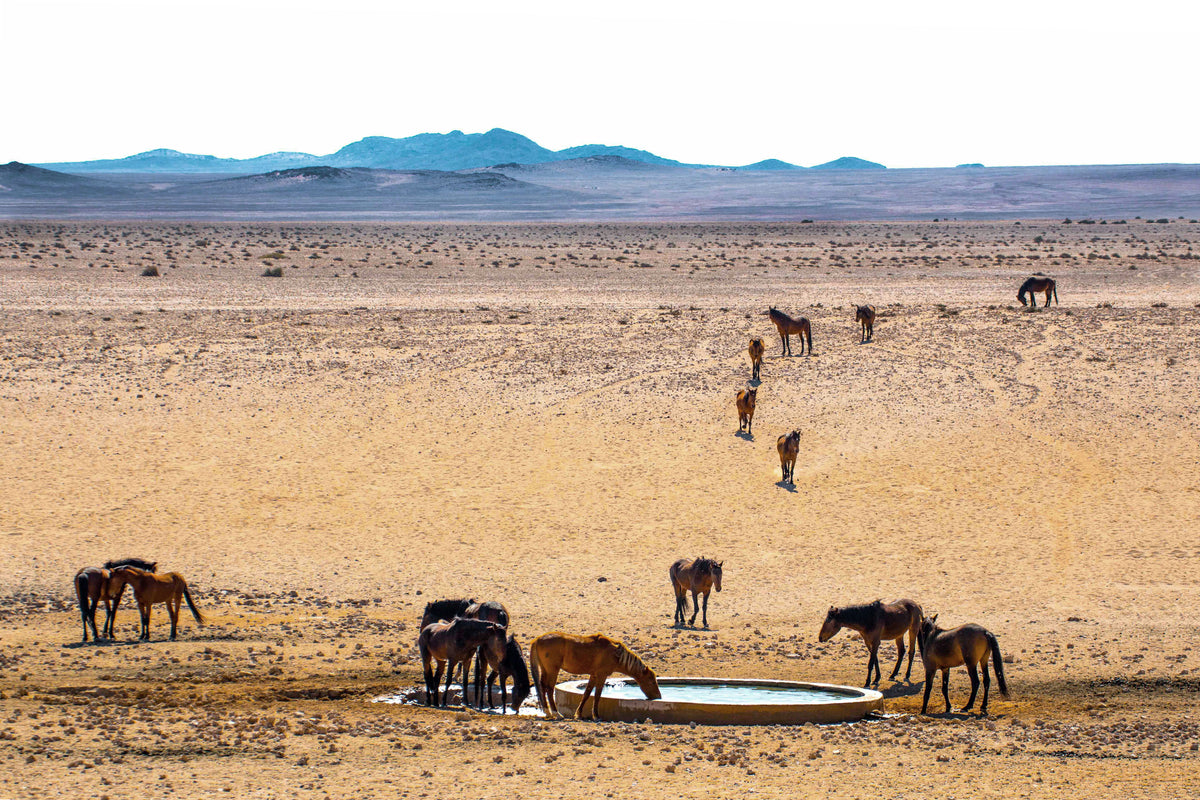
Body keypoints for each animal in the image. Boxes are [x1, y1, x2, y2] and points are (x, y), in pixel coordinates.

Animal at [529, 632, 661, 720]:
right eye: (652, 681)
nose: (658, 697)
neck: (615, 654)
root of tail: (538, 639)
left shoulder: (593, 675)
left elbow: (587, 693)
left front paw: (579, 713)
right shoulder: (602, 675)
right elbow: (597, 695)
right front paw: (596, 716)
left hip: (545, 670)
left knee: (542, 687)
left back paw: (547, 712)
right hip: (553, 670)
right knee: (549, 689)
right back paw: (556, 713)